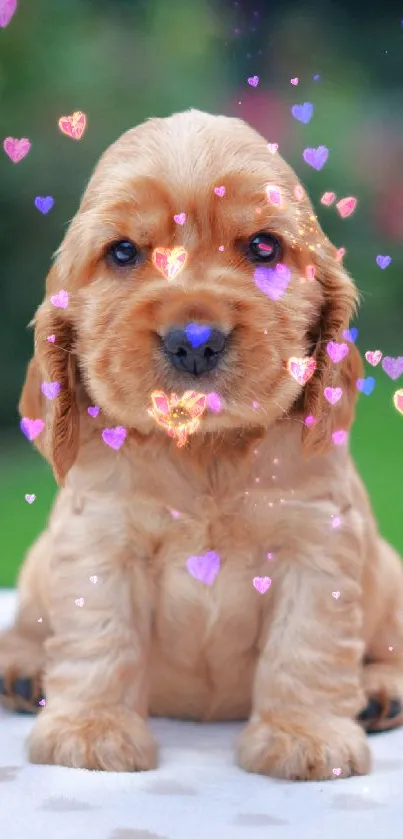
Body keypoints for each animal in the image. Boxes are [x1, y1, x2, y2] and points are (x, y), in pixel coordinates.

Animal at [0, 110, 403, 780]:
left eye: (264, 246)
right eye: (123, 251)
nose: (194, 340)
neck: (205, 450)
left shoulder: (317, 544)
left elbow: (306, 644)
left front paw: (304, 737)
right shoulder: (101, 540)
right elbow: (100, 636)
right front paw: (90, 731)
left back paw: (379, 693)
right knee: (30, 627)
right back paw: (25, 673)